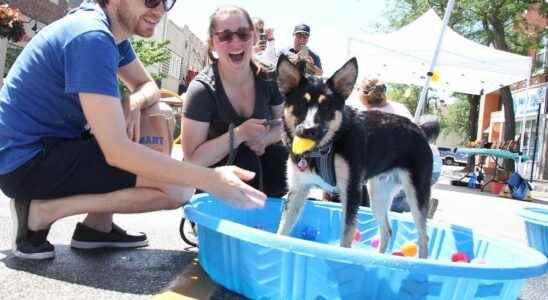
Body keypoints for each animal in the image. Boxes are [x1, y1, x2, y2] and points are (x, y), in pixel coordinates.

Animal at [274, 54, 436, 258]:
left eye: (326, 108)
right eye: (301, 105)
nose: (308, 130)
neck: (326, 147)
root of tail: (419, 129)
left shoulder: (351, 191)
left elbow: (346, 236)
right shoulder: (298, 189)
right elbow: (282, 230)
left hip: (416, 194)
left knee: (423, 238)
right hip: (378, 193)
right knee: (387, 230)